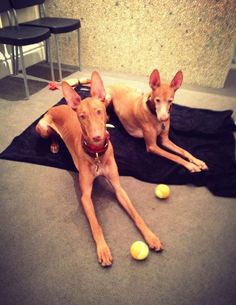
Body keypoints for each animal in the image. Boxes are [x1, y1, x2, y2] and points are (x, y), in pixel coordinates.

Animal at [35, 71, 164, 266]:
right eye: (82, 116)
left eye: (99, 111)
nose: (96, 137)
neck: (96, 154)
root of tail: (58, 106)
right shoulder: (85, 197)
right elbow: (96, 225)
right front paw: (103, 249)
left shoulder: (119, 188)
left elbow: (136, 215)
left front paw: (151, 236)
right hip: (42, 127)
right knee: (51, 135)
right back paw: (55, 145)